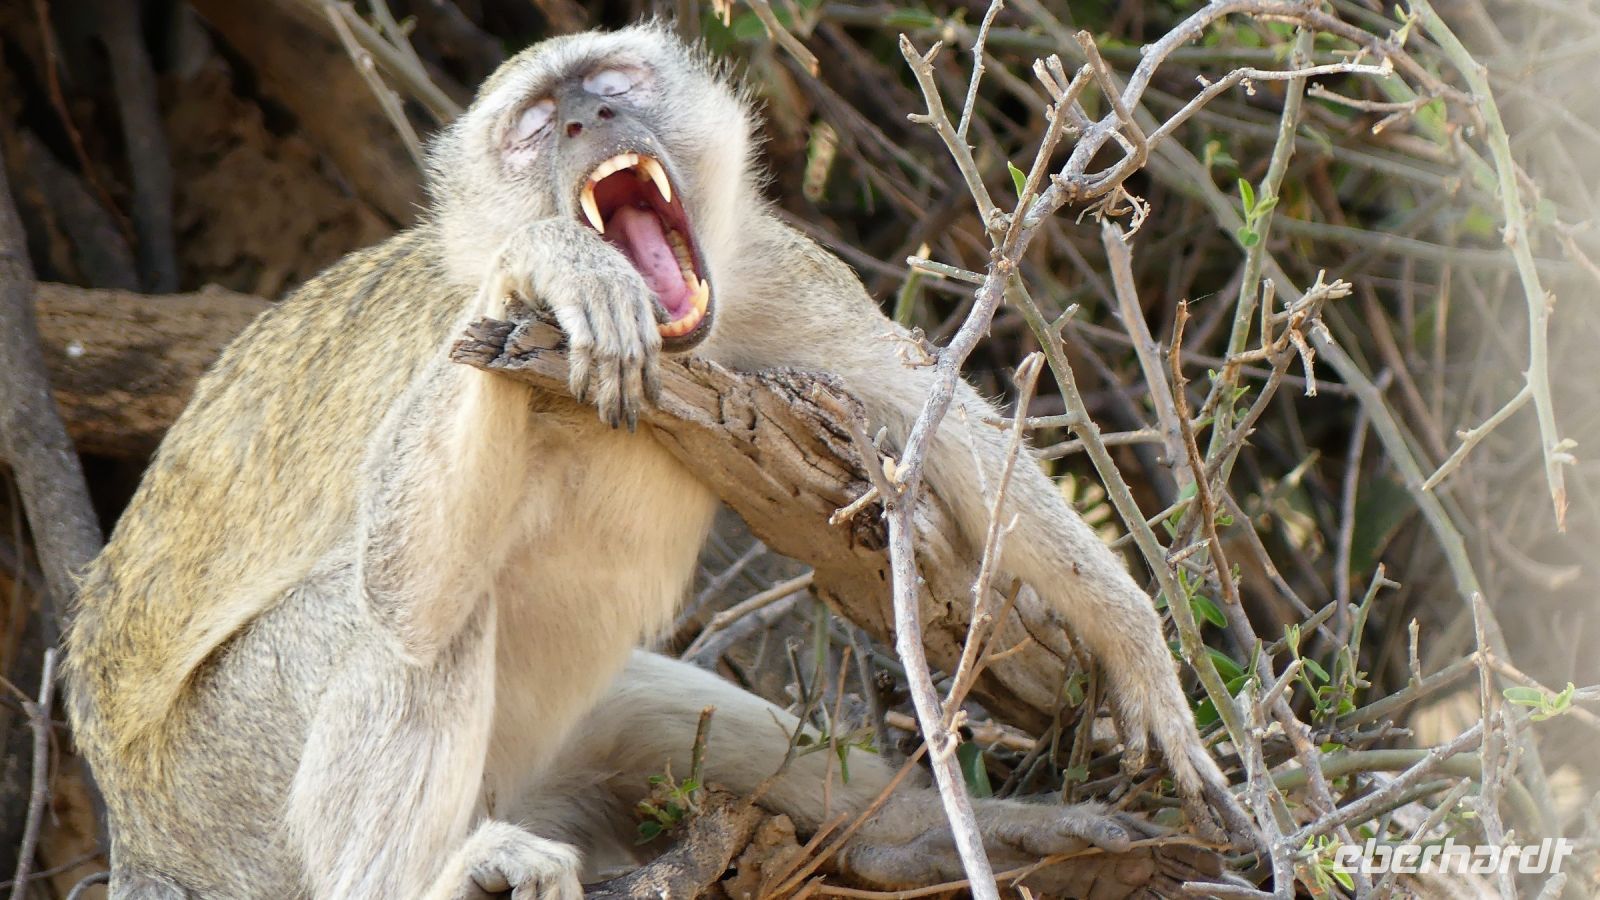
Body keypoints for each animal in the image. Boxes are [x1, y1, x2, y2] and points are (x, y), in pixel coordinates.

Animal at [63, 23, 1248, 900]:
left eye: (611, 83)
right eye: (536, 125)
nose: (591, 117)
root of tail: (137, 839)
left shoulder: (783, 276)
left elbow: (944, 431)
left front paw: (1136, 649)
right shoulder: (454, 332)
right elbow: (403, 592)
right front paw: (549, 262)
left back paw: (915, 835)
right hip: (224, 800)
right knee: (408, 630)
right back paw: (423, 880)